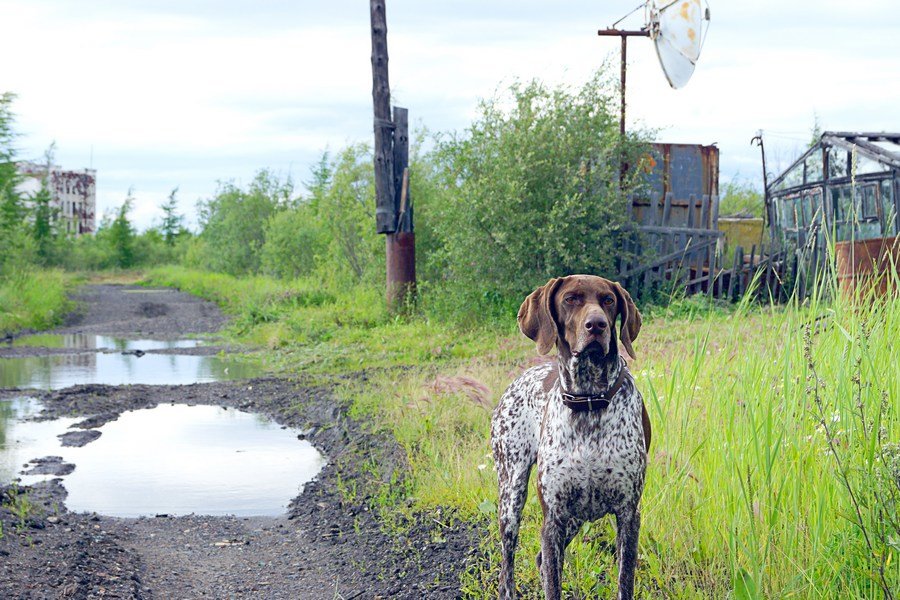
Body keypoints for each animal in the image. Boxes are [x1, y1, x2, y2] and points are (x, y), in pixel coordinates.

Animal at [488, 276, 652, 600]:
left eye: (608, 300)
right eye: (570, 299)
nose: (597, 325)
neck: (588, 400)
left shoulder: (628, 514)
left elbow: (624, 582)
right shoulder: (553, 517)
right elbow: (552, 583)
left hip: (574, 517)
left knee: (539, 559)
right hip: (511, 496)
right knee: (506, 568)